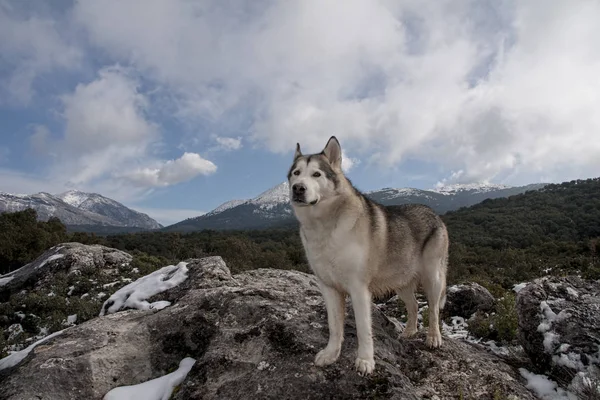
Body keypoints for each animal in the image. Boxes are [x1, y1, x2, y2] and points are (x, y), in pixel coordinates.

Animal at [288, 137, 448, 376]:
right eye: (296, 173)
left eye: (316, 174)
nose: (298, 188)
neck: (326, 226)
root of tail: (434, 213)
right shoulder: (329, 288)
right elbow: (334, 327)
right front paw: (331, 354)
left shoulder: (359, 289)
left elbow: (364, 330)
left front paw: (365, 361)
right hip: (401, 282)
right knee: (413, 306)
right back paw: (409, 332)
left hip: (433, 279)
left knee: (434, 310)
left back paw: (434, 338)